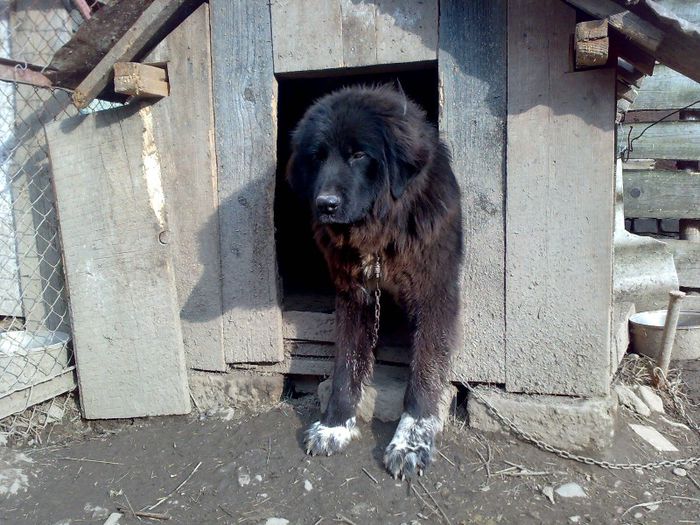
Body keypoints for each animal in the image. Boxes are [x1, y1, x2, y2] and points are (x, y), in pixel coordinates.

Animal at [288, 84, 462, 476]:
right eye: (317, 157)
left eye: (358, 155)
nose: (325, 204)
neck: (382, 233)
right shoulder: (356, 296)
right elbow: (346, 364)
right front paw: (334, 425)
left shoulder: (436, 294)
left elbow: (425, 371)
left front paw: (410, 442)